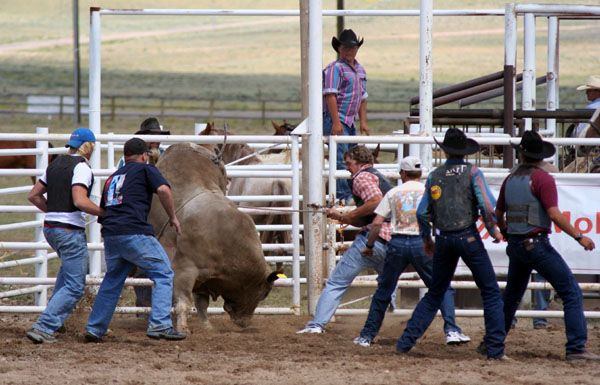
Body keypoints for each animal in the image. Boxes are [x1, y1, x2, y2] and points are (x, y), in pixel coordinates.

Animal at [148, 144, 278, 330]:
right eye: (264, 293)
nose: (245, 322)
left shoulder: (204, 281)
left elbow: (202, 303)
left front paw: (206, 326)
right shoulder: (184, 270)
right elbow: (183, 302)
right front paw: (182, 328)